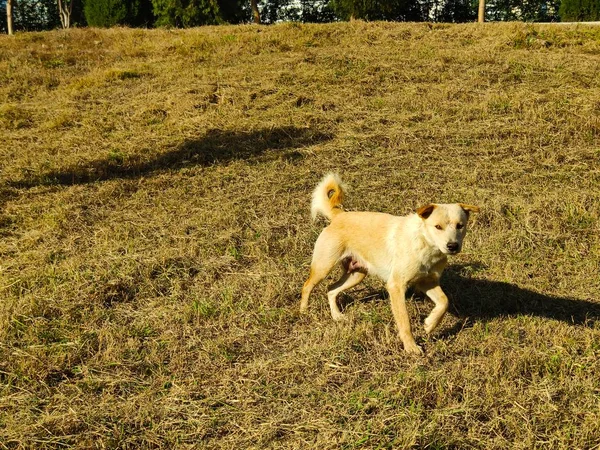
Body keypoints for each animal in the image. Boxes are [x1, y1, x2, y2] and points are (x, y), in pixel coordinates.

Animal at [300, 174, 478, 354]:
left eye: (460, 226)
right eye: (438, 227)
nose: (452, 246)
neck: (425, 246)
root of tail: (339, 215)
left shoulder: (428, 282)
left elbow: (444, 302)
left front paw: (430, 324)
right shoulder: (396, 286)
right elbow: (405, 322)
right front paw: (411, 347)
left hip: (356, 274)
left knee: (331, 289)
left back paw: (336, 316)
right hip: (323, 267)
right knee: (307, 286)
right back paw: (304, 311)